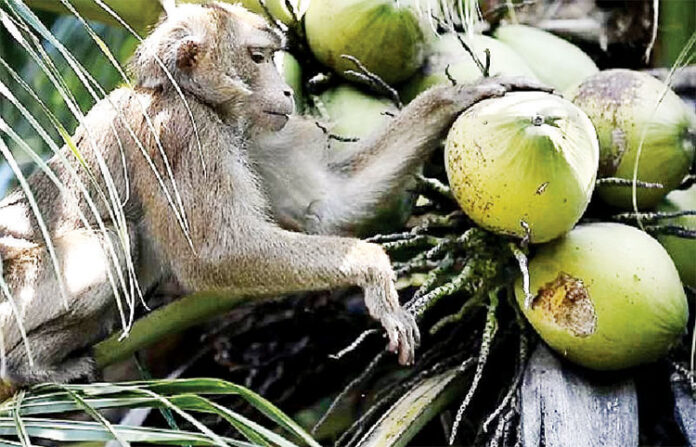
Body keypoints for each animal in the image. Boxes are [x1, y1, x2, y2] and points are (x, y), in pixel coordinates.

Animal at [0, 2, 547, 397]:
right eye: (259, 58)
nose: (286, 91)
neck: (194, 97)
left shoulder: (255, 136)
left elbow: (327, 206)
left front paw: (458, 98)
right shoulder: (184, 134)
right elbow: (213, 255)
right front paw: (372, 268)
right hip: (13, 292)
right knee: (112, 246)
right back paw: (27, 367)